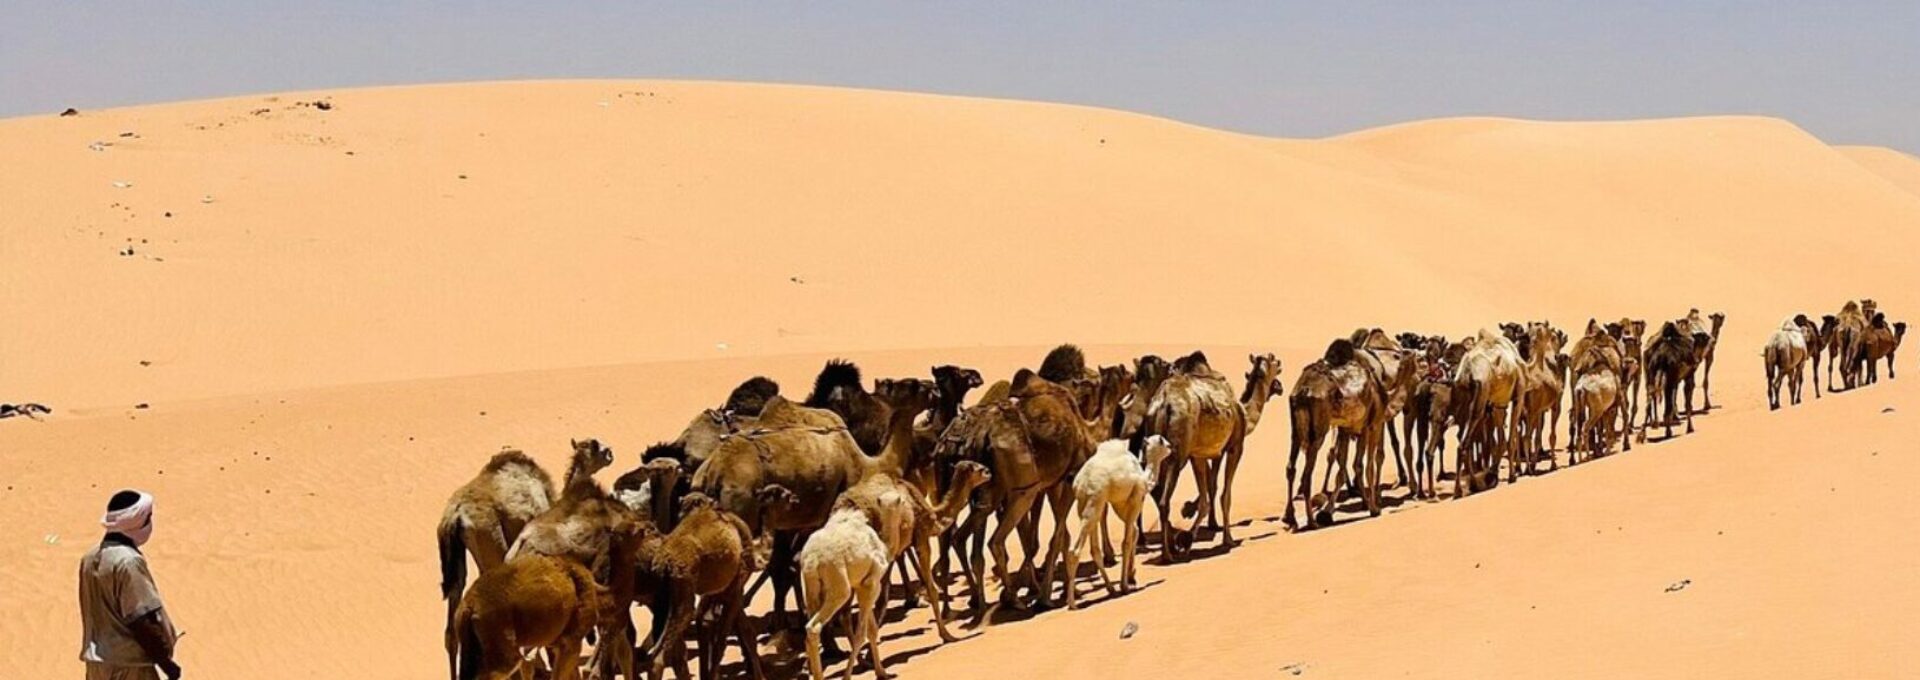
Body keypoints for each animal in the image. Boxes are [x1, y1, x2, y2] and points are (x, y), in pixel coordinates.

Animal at [1062, 436, 1173, 609]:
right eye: (1164, 442)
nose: (1171, 447)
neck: (1145, 477)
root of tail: (1080, 483)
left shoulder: (1118, 502)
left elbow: (1134, 533)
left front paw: (1131, 576)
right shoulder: (1136, 497)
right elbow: (1126, 542)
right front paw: (1125, 585)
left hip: (1087, 504)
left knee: (1095, 549)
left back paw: (1110, 588)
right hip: (1094, 502)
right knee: (1075, 551)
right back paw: (1073, 603)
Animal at [1284, 339, 1390, 530]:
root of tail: (1303, 390)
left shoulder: (1347, 429)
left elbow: (1347, 468)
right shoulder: (1372, 425)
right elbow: (1365, 466)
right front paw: (1373, 508)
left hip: (1296, 429)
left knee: (1291, 467)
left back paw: (1290, 518)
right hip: (1319, 432)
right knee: (1307, 474)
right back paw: (1311, 521)